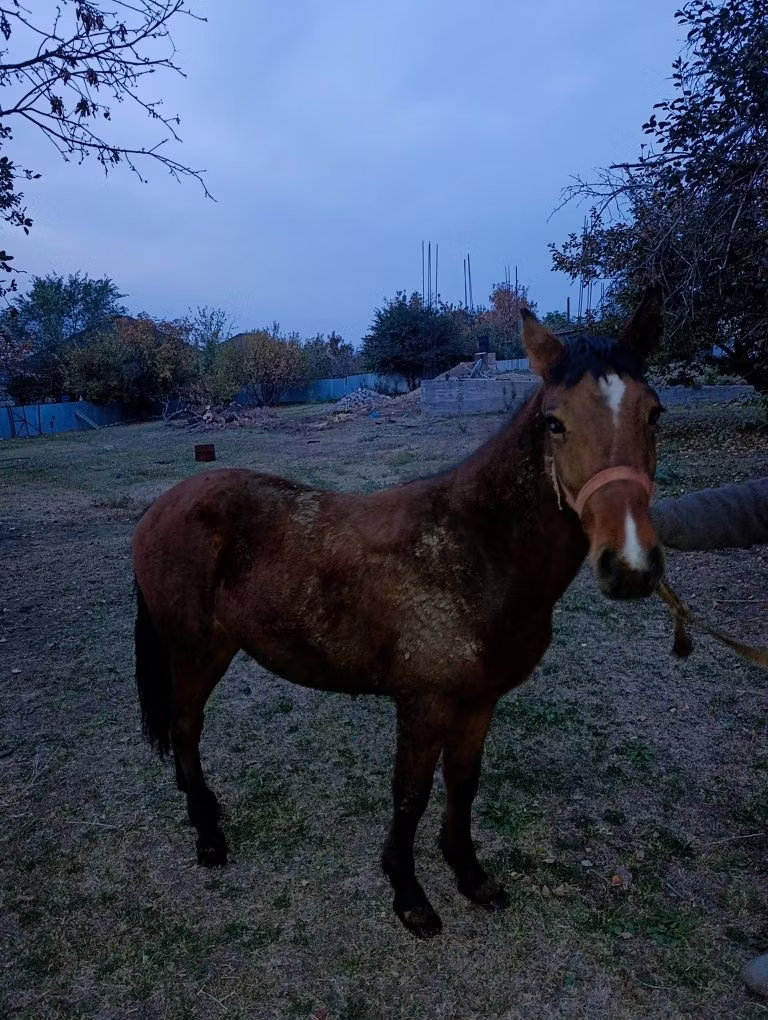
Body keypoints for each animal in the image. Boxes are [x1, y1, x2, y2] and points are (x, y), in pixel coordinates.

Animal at [133, 287, 666, 938]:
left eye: (654, 414)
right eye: (554, 423)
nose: (630, 564)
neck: (477, 549)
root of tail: (161, 507)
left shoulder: (479, 701)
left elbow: (463, 783)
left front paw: (469, 874)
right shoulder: (423, 703)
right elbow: (410, 795)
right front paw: (408, 893)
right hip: (194, 652)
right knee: (186, 729)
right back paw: (209, 836)